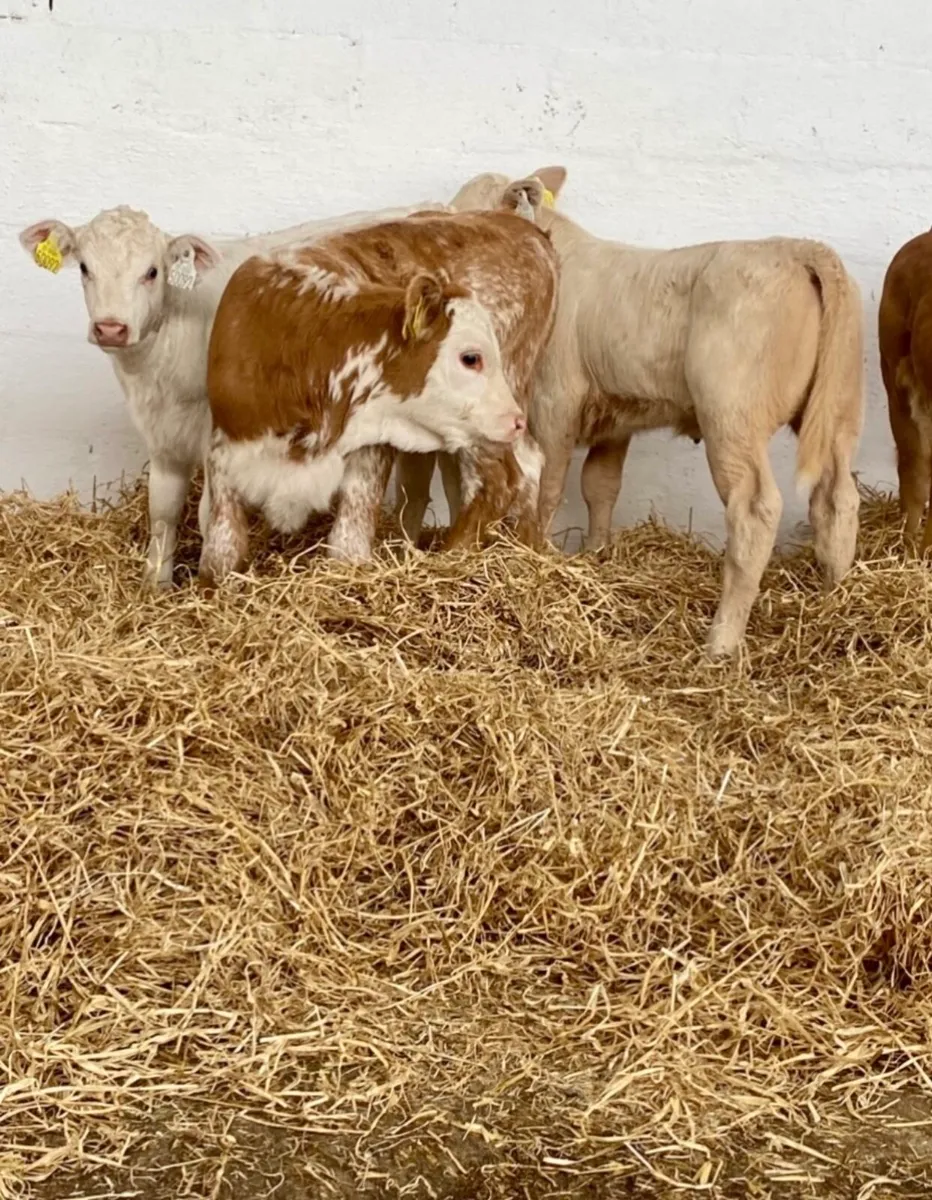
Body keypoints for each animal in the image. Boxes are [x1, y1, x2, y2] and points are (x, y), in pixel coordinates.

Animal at [18, 198, 447, 588]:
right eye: (85, 268)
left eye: (152, 272)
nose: (110, 328)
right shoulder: (163, 437)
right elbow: (163, 510)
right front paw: (154, 586)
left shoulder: (219, 438)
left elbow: (209, 515)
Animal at [198, 210, 557, 587]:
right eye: (470, 357)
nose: (516, 421)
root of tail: (518, 224)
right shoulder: (223, 449)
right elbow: (221, 550)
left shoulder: (371, 447)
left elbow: (349, 541)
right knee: (528, 462)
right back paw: (529, 549)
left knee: (497, 480)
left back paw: (453, 557)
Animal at [437, 169, 864, 659]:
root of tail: (799, 248)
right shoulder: (616, 417)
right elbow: (600, 486)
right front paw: (596, 554)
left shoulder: (553, 403)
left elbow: (548, 487)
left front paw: (536, 554)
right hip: (839, 411)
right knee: (837, 497)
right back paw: (836, 596)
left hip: (731, 415)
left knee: (754, 509)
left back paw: (721, 641)